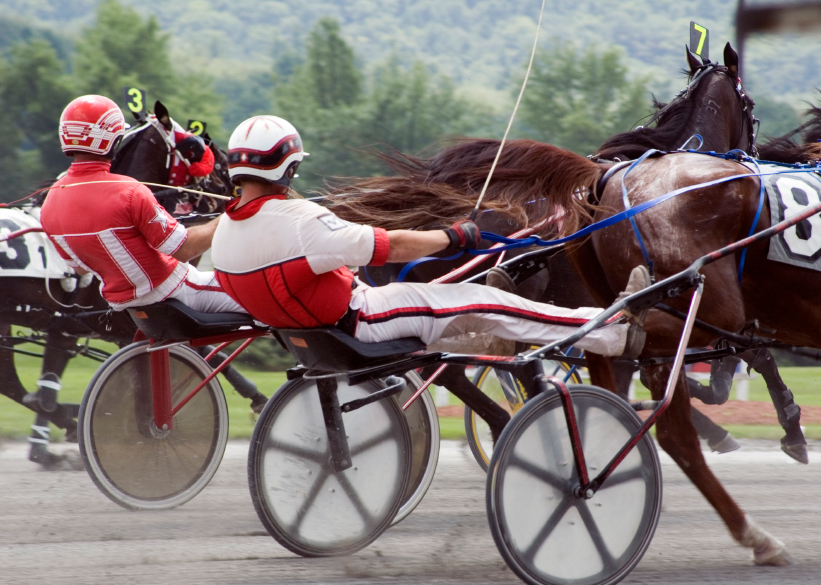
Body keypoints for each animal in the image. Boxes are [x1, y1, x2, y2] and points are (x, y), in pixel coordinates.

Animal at [0, 99, 262, 466]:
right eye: (196, 147)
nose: (232, 185)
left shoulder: (67, 325)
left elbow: (44, 393)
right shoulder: (119, 321)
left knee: (9, 382)